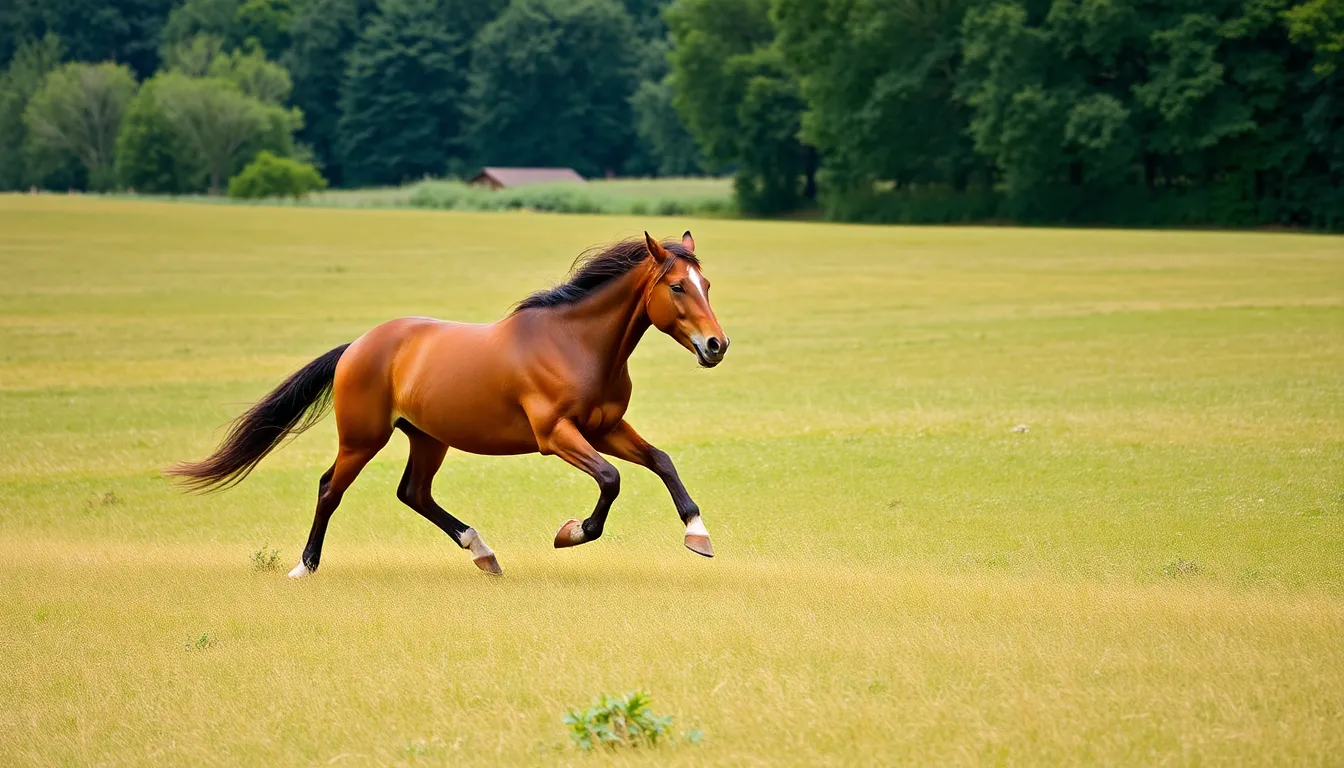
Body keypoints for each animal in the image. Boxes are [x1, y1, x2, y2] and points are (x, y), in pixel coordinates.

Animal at [168, 231, 729, 577]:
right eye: (677, 287)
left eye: (706, 284)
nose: (716, 346)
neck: (576, 344)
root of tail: (358, 346)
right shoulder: (556, 436)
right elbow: (611, 480)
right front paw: (571, 533)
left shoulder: (605, 428)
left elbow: (662, 461)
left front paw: (697, 534)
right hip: (363, 438)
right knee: (331, 489)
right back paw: (304, 566)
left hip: (427, 437)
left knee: (413, 492)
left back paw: (483, 553)